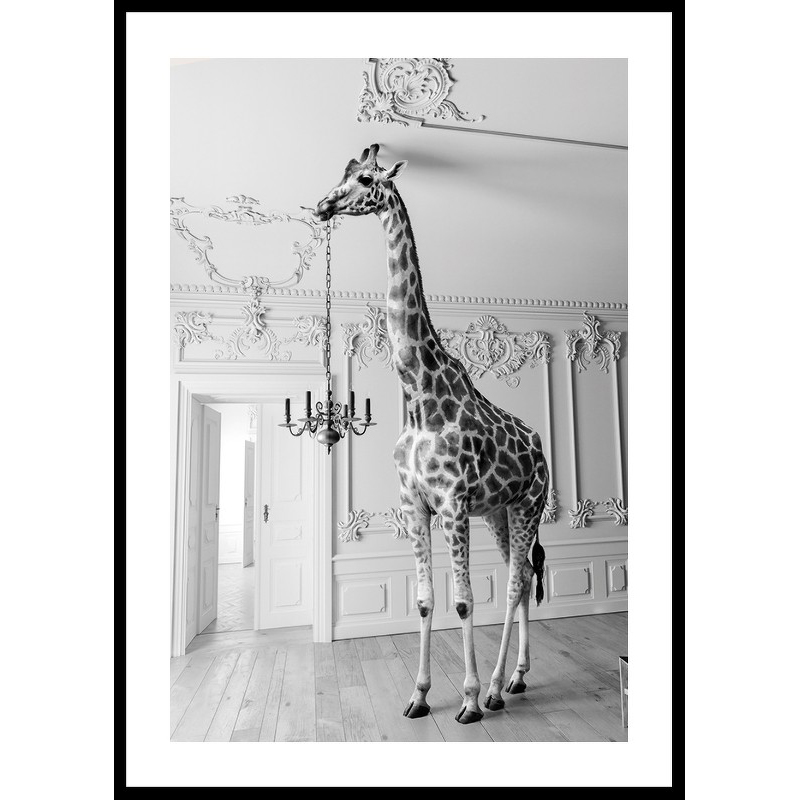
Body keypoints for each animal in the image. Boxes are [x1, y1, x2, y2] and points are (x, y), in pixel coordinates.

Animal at [314, 144, 549, 724]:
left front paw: (467, 700)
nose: (323, 205)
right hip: (500, 512)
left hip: (529, 504)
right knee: (520, 581)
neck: (420, 397)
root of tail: (542, 448)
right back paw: (516, 679)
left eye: (367, 179)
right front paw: (419, 696)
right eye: (343, 173)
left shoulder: (452, 503)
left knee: (515, 585)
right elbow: (424, 600)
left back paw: (493, 689)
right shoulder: (414, 505)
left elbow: (464, 600)